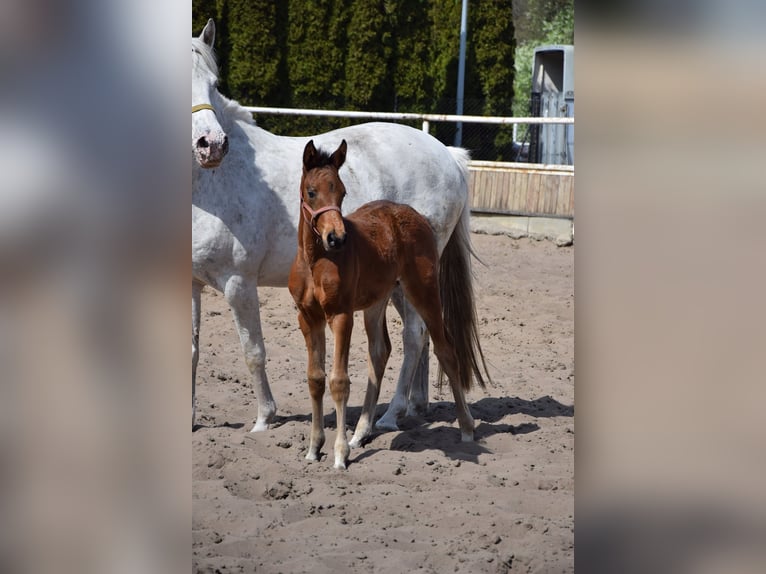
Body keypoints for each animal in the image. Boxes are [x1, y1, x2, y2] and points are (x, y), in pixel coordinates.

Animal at [192, 18, 488, 433]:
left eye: (213, 83)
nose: (211, 145)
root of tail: (448, 154)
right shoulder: (190, 284)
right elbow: (191, 352)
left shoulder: (239, 284)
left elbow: (254, 352)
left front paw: (264, 419)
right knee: (426, 334)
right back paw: (416, 407)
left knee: (415, 335)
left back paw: (391, 415)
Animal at [289, 140, 483, 469]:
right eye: (311, 192)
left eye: (342, 192)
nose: (336, 237)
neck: (317, 260)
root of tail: (413, 214)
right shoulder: (308, 317)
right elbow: (315, 379)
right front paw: (315, 448)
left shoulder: (341, 315)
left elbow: (339, 381)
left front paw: (340, 454)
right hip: (376, 301)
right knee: (379, 352)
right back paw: (361, 432)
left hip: (422, 290)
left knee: (445, 349)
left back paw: (467, 428)